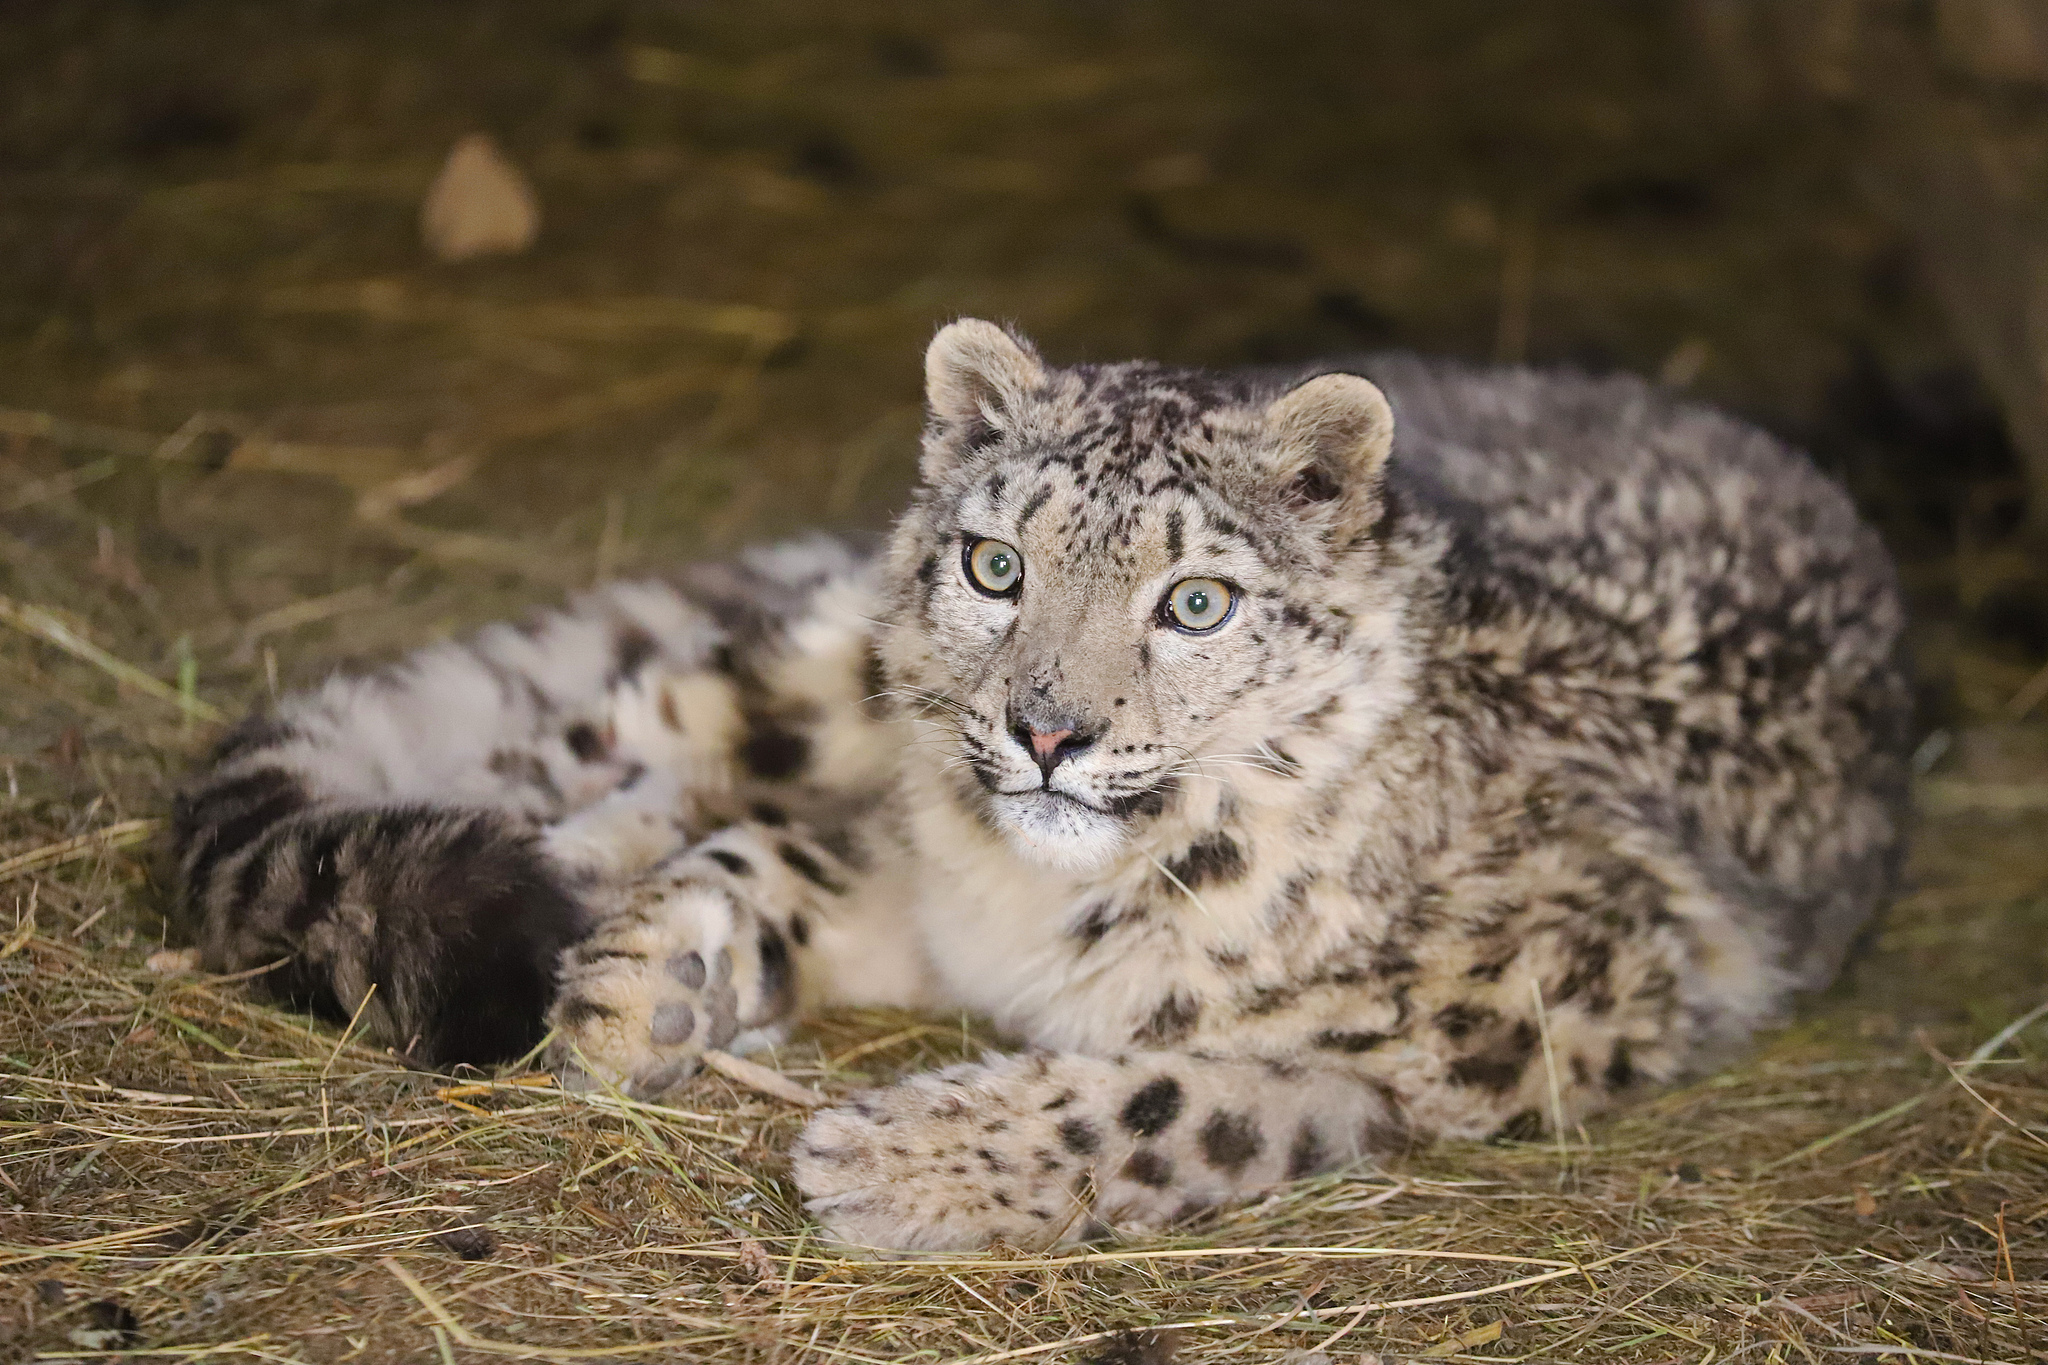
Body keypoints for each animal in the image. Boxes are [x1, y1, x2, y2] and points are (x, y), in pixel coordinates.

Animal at [167, 318, 1912, 1253]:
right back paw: (563, 874)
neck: (1045, 904)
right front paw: (647, 983)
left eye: (1194, 600)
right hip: (804, 675)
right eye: (998, 564)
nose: (1049, 733)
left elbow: (1168, 1089)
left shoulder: (1504, 1009)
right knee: (631, 722)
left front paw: (884, 1157)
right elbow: (773, 856)